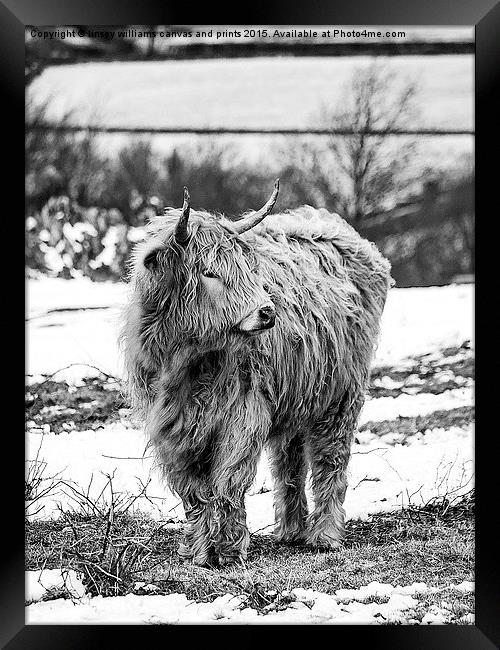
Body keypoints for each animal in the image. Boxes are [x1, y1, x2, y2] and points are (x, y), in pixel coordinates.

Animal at [120, 180, 390, 564]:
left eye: (247, 268)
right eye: (209, 273)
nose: (267, 311)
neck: (186, 363)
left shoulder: (243, 413)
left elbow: (228, 479)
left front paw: (230, 548)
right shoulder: (173, 430)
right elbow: (192, 490)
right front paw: (200, 551)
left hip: (342, 395)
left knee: (330, 461)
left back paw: (324, 536)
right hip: (296, 397)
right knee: (290, 463)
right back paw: (291, 531)